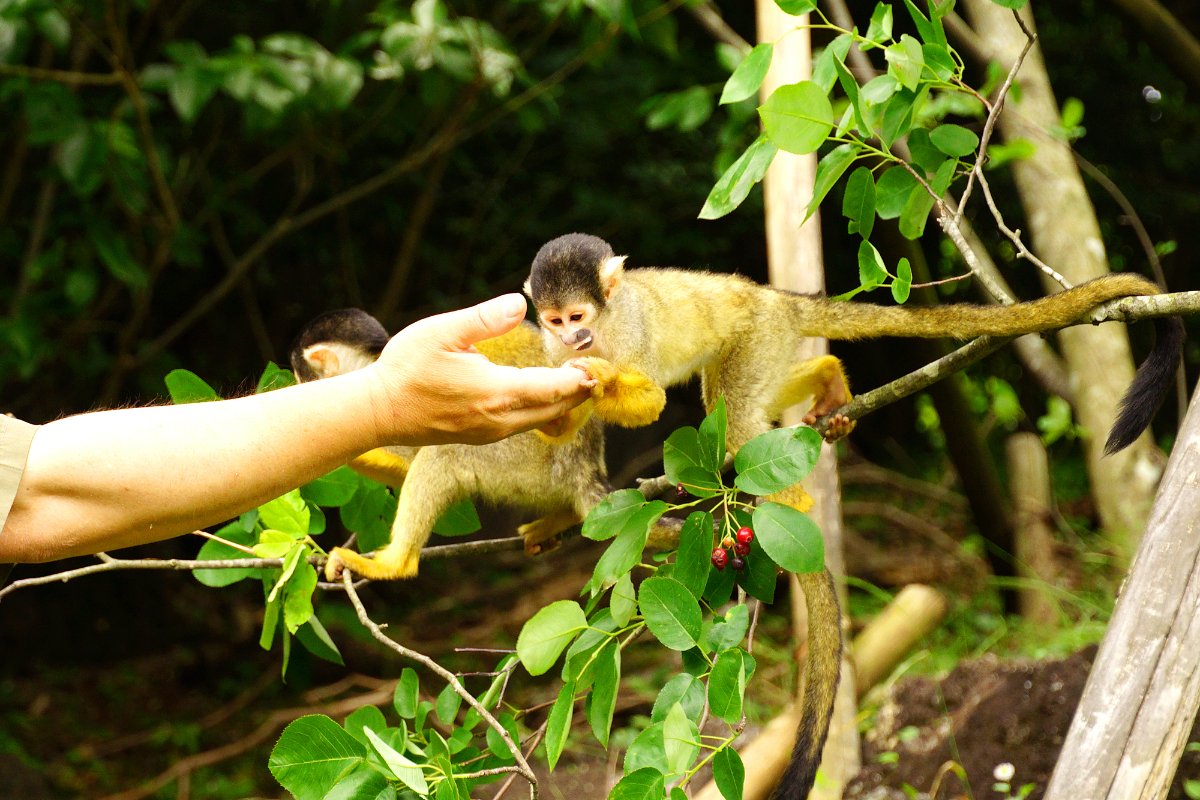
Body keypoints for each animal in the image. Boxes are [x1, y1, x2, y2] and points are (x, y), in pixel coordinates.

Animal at [285, 307, 672, 582]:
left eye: (302, 375)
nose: (300, 386)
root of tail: (585, 466)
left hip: (522, 461)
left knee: (443, 454)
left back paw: (395, 564)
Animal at [523, 230, 1180, 800]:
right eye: (555, 323)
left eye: (579, 318)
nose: (575, 343)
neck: (604, 326)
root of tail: (774, 295)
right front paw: (558, 402)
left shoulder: (629, 329)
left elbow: (650, 398)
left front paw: (598, 379)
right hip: (769, 340)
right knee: (734, 406)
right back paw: (824, 380)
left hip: (757, 334)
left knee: (734, 415)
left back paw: (790, 493)